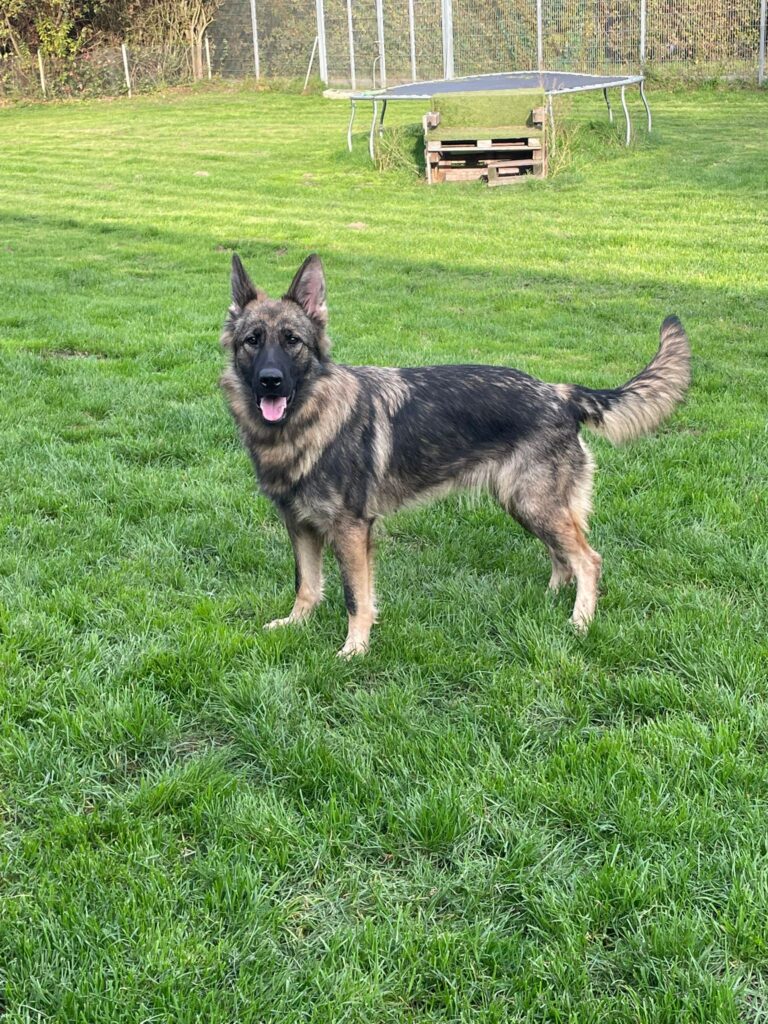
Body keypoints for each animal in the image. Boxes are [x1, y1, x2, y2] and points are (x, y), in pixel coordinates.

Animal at [220, 253, 690, 657]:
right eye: (252, 341)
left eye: (292, 341)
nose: (270, 381)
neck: (307, 423)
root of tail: (560, 393)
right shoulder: (300, 526)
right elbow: (306, 584)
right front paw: (296, 624)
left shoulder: (351, 531)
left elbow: (356, 597)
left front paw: (355, 647)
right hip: (524, 505)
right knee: (563, 557)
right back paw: (549, 598)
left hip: (535, 504)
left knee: (588, 560)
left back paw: (580, 621)